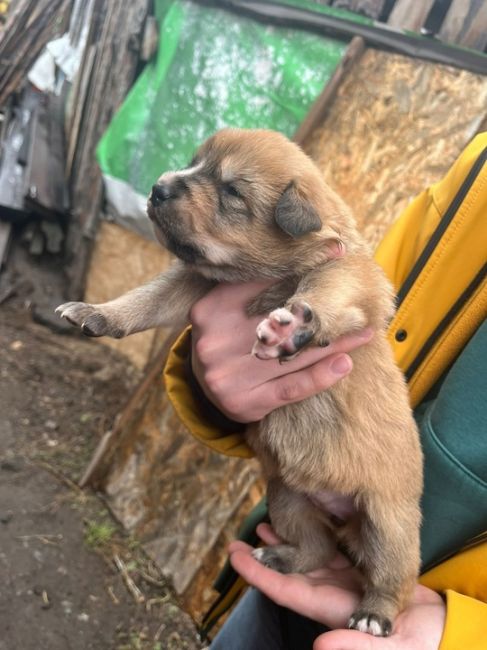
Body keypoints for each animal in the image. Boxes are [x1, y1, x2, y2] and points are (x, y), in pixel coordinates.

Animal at [56, 128, 424, 632]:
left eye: (231, 191)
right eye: (194, 164)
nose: (158, 187)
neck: (257, 274)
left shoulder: (349, 273)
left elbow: (325, 290)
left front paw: (294, 324)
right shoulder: (191, 283)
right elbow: (144, 299)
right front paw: (97, 313)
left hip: (389, 526)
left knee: (395, 581)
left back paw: (373, 616)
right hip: (288, 500)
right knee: (316, 548)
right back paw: (281, 558)